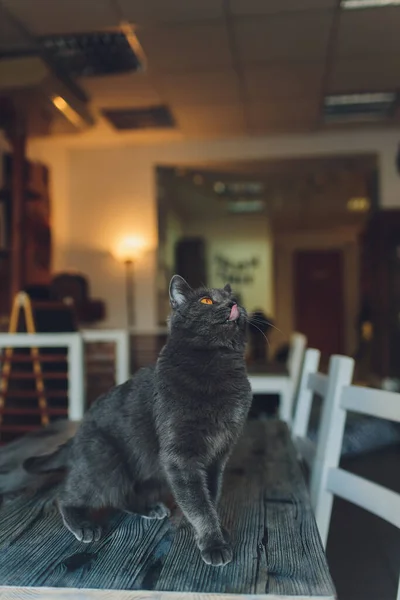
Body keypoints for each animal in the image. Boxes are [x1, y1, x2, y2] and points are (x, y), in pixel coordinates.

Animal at [24, 276, 250, 568]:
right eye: (206, 300)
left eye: (235, 299)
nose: (233, 304)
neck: (217, 365)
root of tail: (77, 436)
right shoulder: (180, 457)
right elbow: (198, 504)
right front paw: (213, 543)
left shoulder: (218, 455)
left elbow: (212, 494)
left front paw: (218, 531)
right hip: (106, 463)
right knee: (67, 495)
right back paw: (84, 524)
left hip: (146, 469)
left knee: (124, 495)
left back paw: (149, 508)